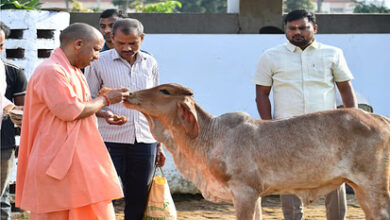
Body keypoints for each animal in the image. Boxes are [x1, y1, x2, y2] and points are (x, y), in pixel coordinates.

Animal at [122, 83, 390, 220]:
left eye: (164, 91)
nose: (128, 94)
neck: (211, 136)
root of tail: (379, 118)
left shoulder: (245, 192)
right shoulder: (255, 195)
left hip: (373, 186)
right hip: (361, 188)